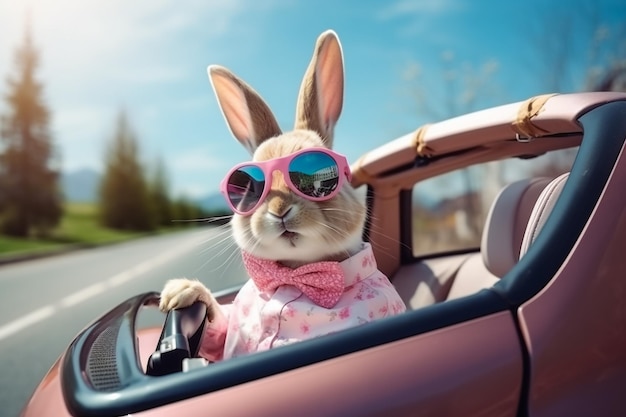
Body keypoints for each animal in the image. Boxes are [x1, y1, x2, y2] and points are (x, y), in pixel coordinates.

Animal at [158, 30, 408, 360]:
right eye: (250, 187)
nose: (279, 211)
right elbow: (218, 333)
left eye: (318, 170)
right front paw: (180, 292)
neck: (293, 274)